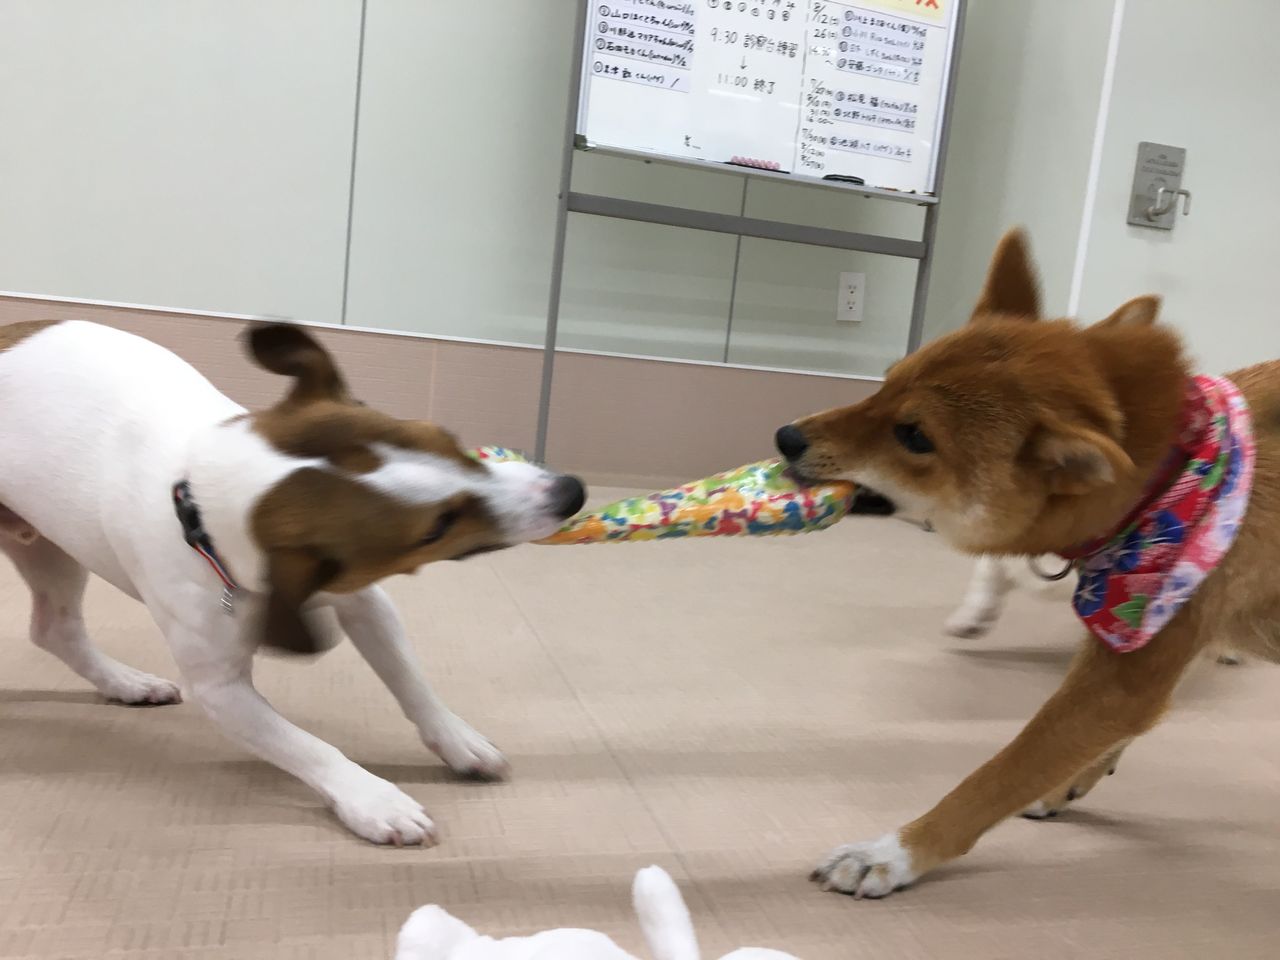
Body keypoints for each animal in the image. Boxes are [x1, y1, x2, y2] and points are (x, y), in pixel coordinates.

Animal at [0, 319, 586, 844]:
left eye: (451, 440)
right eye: (437, 527)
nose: (572, 492)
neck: (197, 501)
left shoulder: (361, 597)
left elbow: (411, 682)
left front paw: (456, 739)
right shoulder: (221, 690)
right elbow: (307, 747)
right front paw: (372, 798)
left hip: (50, 545)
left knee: (55, 629)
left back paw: (125, 683)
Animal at [774, 228, 1277, 897]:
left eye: (915, 436)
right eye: (884, 382)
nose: (786, 437)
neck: (1172, 475)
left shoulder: (1128, 673)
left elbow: (995, 777)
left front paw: (895, 851)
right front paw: (1065, 780)